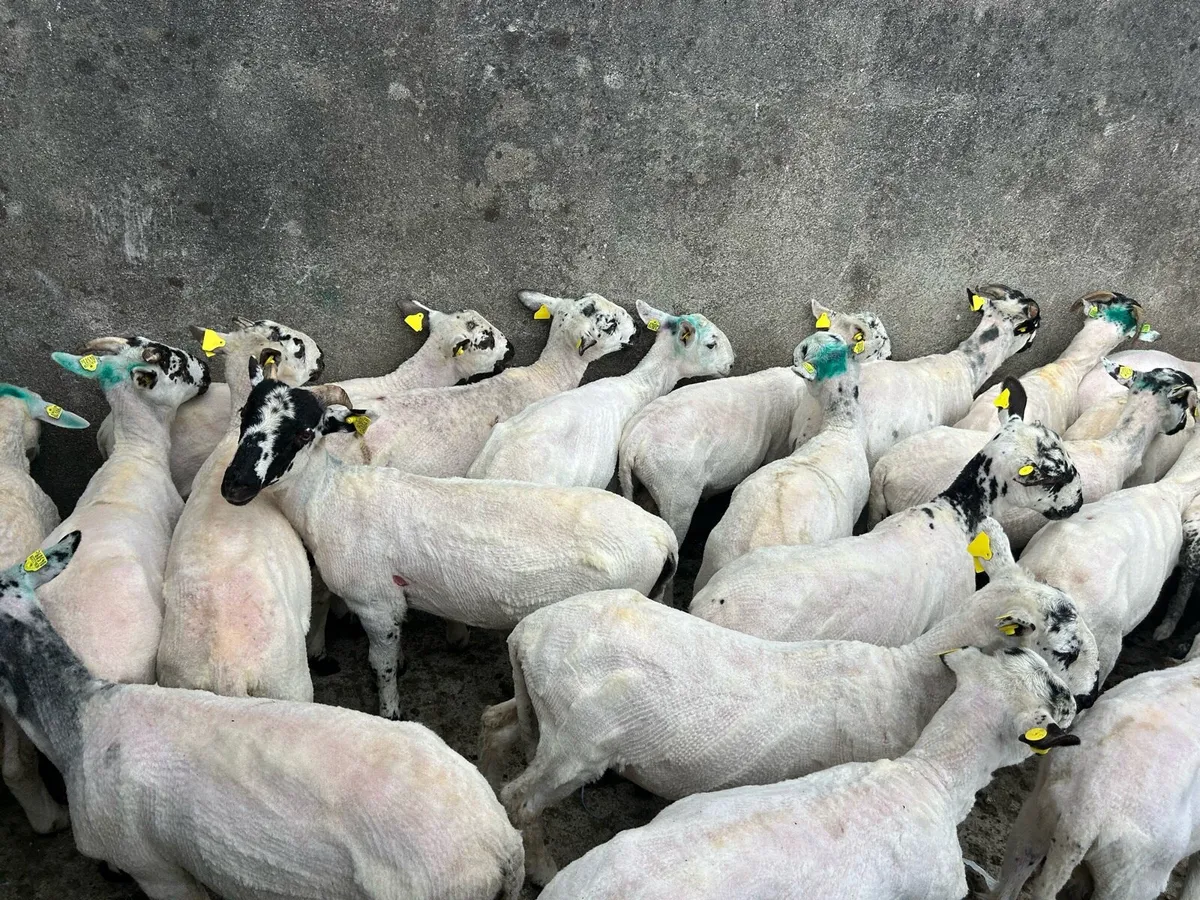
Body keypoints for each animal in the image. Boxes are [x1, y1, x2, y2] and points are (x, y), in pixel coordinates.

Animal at [218, 377, 678, 721]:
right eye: (245, 416)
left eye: (303, 431)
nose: (235, 485)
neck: (326, 497)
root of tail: (662, 535)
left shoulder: (375, 602)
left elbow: (381, 665)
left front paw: (391, 713)